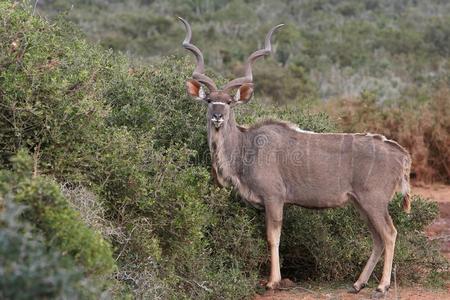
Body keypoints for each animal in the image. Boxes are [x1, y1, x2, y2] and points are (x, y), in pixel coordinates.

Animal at [178, 18, 412, 298]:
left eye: (229, 102)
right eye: (210, 100)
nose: (217, 117)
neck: (247, 147)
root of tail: (402, 154)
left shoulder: (274, 198)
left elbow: (273, 237)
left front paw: (272, 282)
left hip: (374, 201)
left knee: (389, 233)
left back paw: (382, 286)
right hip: (361, 203)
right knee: (377, 238)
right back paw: (358, 284)